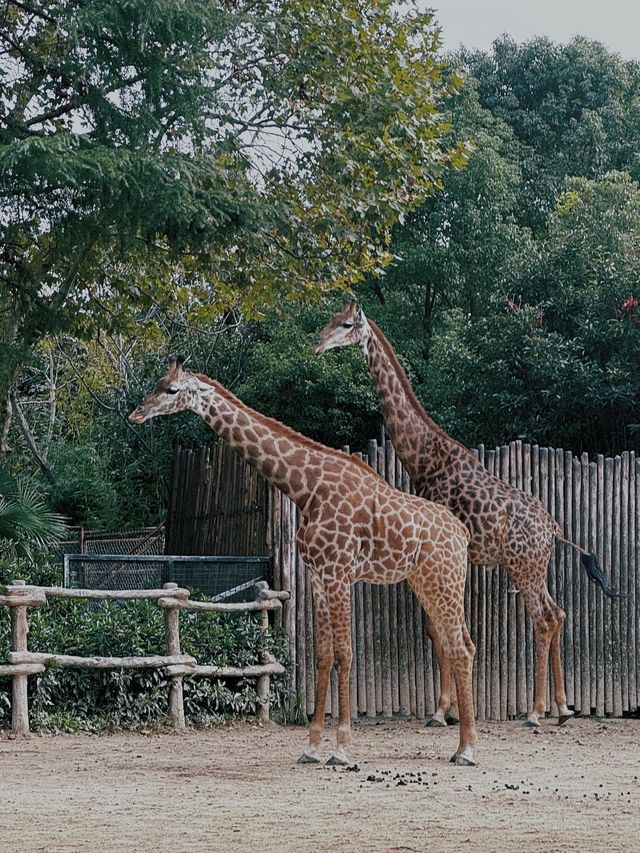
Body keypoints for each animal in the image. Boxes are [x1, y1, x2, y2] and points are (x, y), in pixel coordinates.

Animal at [131, 352, 480, 764]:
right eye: (156, 383)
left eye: (171, 389)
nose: (137, 413)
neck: (307, 490)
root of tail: (462, 534)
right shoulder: (317, 574)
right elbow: (323, 654)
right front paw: (312, 746)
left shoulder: (339, 572)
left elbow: (345, 653)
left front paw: (342, 748)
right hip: (426, 582)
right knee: (459, 644)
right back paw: (460, 740)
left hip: (444, 580)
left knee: (461, 647)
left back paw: (467, 749)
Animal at [312, 300, 616, 724]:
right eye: (329, 320)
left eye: (344, 325)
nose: (317, 344)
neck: (422, 458)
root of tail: (555, 528)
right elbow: (439, 630)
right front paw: (451, 708)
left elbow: (436, 630)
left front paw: (442, 711)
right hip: (535, 566)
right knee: (558, 614)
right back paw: (562, 707)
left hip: (522, 565)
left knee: (543, 619)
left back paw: (535, 712)